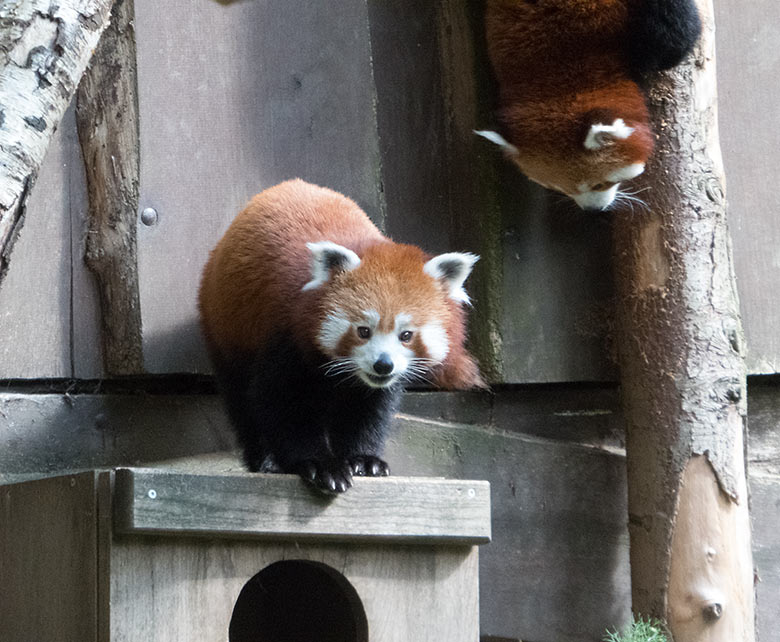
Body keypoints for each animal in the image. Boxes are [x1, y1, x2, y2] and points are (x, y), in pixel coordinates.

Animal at [198, 178, 484, 492]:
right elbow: (281, 401)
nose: (383, 365)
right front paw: (320, 465)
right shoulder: (284, 335)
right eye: (363, 331)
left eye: (406, 335)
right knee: (241, 399)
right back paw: (265, 458)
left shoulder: (378, 385)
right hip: (226, 328)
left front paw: (364, 460)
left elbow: (369, 410)